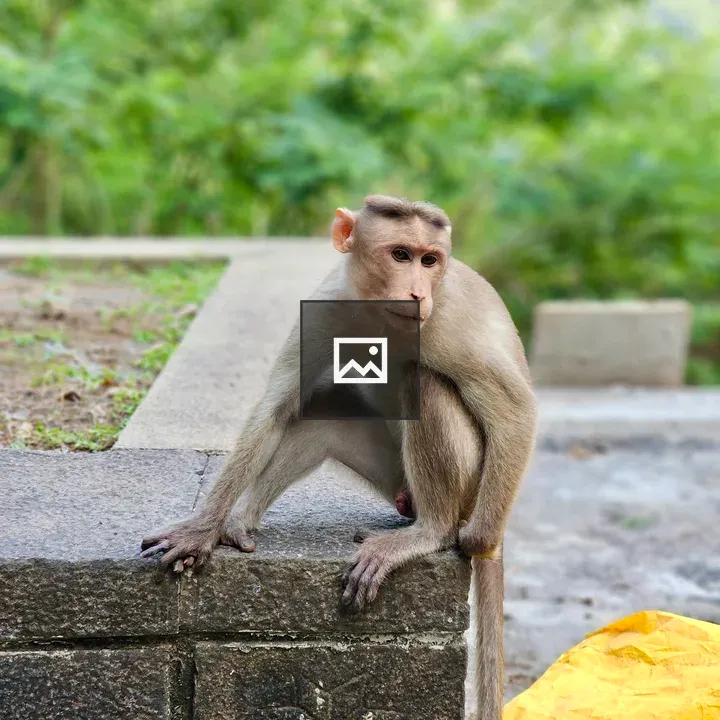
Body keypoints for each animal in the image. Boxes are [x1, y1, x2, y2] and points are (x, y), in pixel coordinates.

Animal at [141, 195, 537, 720]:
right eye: (401, 255)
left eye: (430, 260)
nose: (417, 292)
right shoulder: (325, 307)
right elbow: (278, 406)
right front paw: (204, 527)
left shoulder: (448, 321)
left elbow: (515, 412)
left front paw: (478, 542)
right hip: (396, 477)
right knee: (322, 413)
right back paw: (241, 520)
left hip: (473, 484)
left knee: (424, 381)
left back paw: (433, 533)